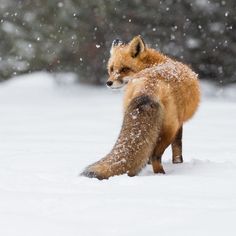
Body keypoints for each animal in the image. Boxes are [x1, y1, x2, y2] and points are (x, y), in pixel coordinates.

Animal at [81, 35, 201, 179]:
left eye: (124, 69)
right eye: (111, 69)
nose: (108, 83)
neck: (156, 63)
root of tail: (148, 86)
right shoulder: (179, 123)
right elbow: (178, 148)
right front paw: (178, 164)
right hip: (169, 129)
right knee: (155, 156)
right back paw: (161, 175)